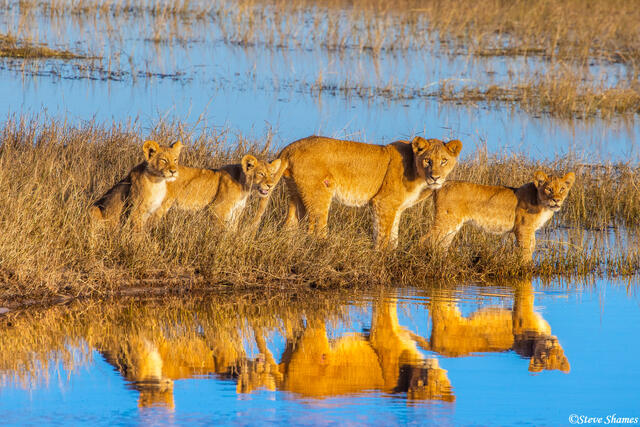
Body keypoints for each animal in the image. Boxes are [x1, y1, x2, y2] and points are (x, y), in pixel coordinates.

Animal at [256, 135, 462, 248]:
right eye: (428, 160)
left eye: (444, 160)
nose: (435, 177)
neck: (417, 174)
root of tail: (289, 148)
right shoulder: (383, 203)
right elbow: (384, 237)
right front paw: (383, 260)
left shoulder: (395, 208)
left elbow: (392, 237)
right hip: (320, 194)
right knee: (316, 230)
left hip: (296, 195)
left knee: (288, 226)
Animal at [424, 170, 575, 262]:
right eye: (549, 189)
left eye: (562, 189)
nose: (556, 200)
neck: (543, 205)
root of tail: (441, 185)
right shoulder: (523, 228)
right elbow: (525, 250)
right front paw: (527, 269)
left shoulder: (530, 230)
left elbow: (532, 247)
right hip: (446, 221)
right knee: (426, 239)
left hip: (452, 226)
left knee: (442, 244)